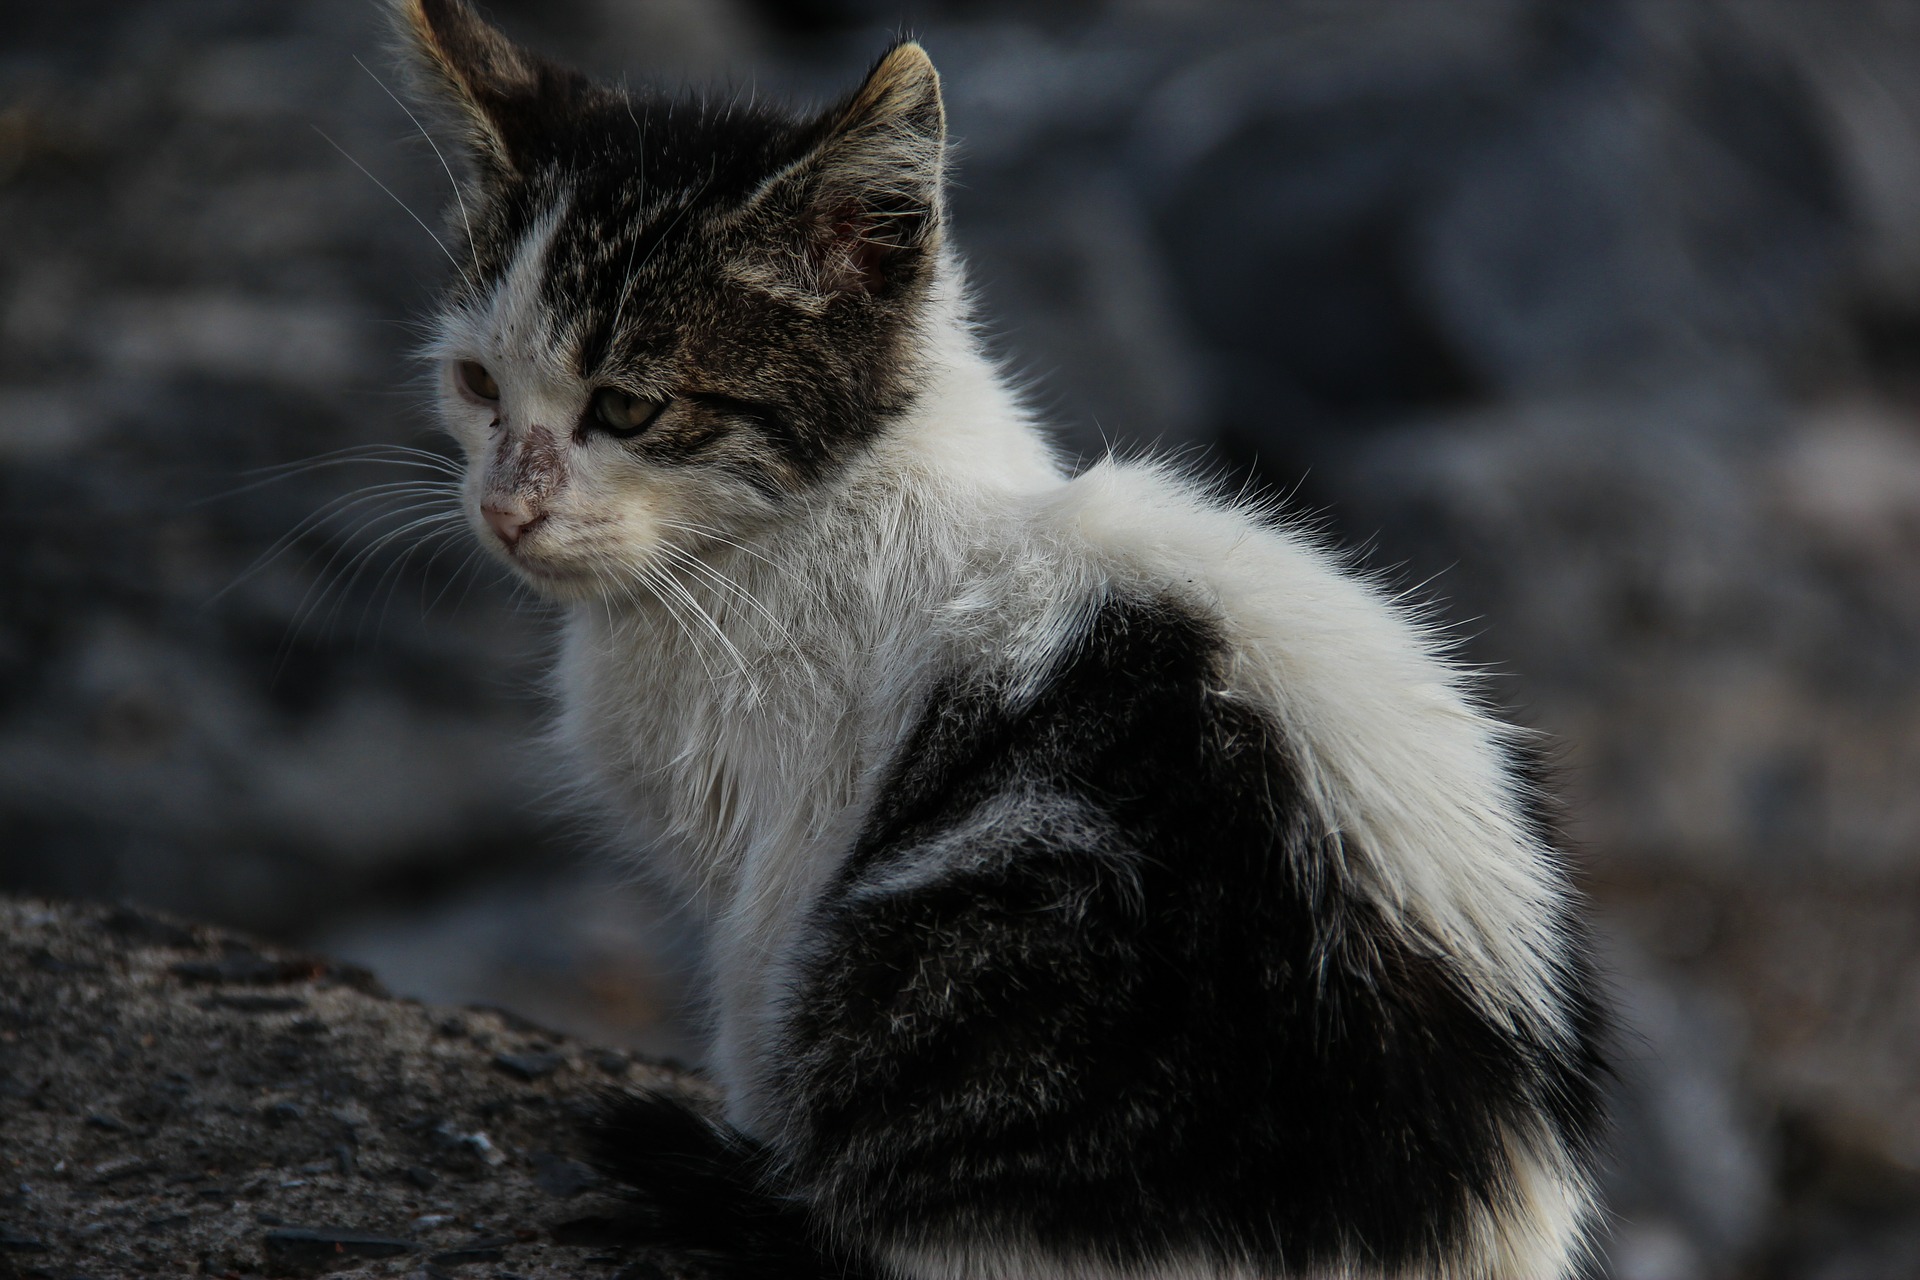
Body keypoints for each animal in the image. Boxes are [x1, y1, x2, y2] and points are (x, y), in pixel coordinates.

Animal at [397, 2, 1612, 1280]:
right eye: (477, 383)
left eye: (629, 406)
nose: (506, 508)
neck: (815, 516)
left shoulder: (780, 861)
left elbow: (753, 998)